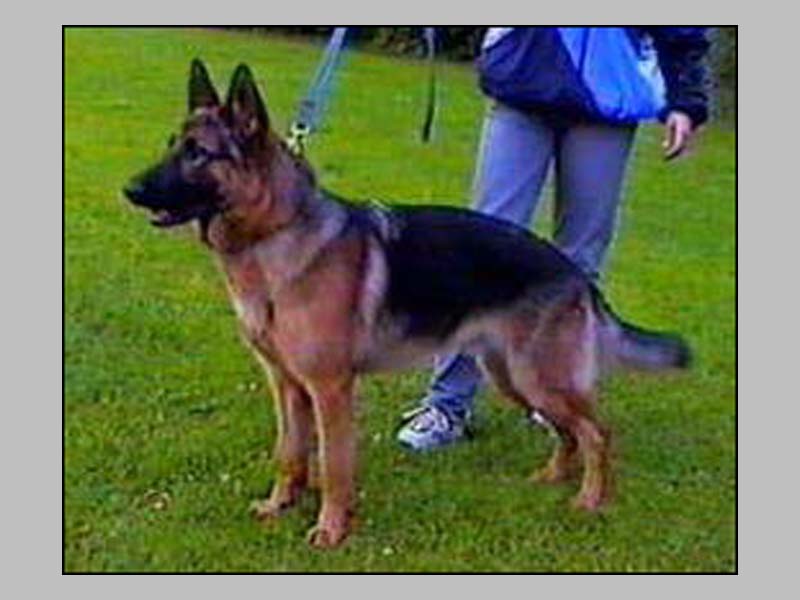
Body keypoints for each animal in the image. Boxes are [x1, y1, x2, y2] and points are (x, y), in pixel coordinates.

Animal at [124, 60, 690, 548]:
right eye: (172, 145)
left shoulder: (330, 389)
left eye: (198, 153)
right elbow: (290, 453)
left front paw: (331, 530)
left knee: (597, 433)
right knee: (569, 433)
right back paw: (551, 478)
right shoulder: (287, 385)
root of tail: (574, 272)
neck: (276, 233)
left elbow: (334, 466)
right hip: (514, 377)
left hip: (538, 377)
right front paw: (279, 505)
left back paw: (590, 500)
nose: (129, 189)